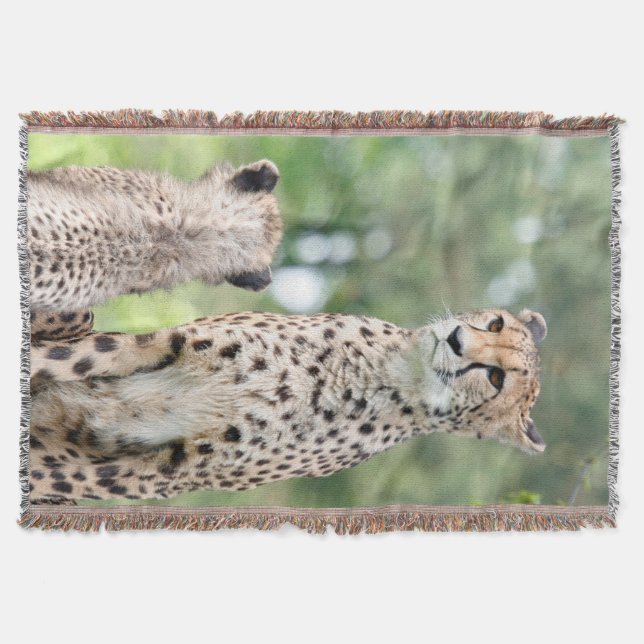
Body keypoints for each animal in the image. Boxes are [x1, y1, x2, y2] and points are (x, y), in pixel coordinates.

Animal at [28, 307, 547, 504]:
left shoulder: (165, 470)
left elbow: (59, 475)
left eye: (497, 379)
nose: (457, 340)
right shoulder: (163, 344)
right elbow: (58, 358)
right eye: (494, 323)